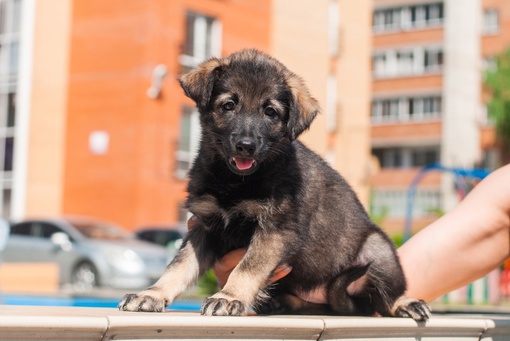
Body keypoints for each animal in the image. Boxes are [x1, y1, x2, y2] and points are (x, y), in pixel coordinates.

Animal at [118, 49, 430, 320]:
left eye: (270, 112)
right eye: (229, 105)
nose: (246, 146)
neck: (235, 181)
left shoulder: (275, 229)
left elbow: (247, 267)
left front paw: (229, 297)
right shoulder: (204, 225)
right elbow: (180, 266)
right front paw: (153, 294)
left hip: (379, 251)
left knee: (386, 298)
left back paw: (405, 303)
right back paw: (278, 303)